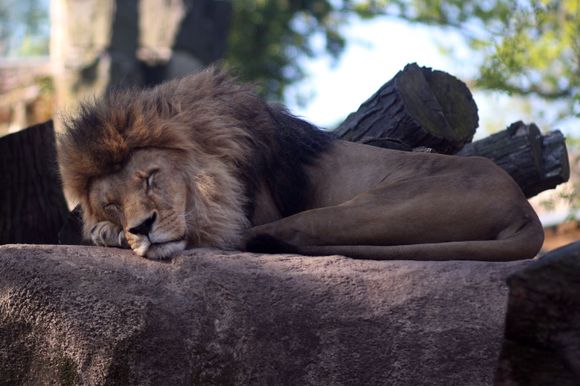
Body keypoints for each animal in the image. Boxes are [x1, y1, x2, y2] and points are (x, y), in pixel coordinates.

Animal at [57, 68, 544, 262]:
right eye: (112, 203)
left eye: (151, 178)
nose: (140, 228)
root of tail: (526, 209)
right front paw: (105, 232)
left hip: (366, 207)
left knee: (268, 237)